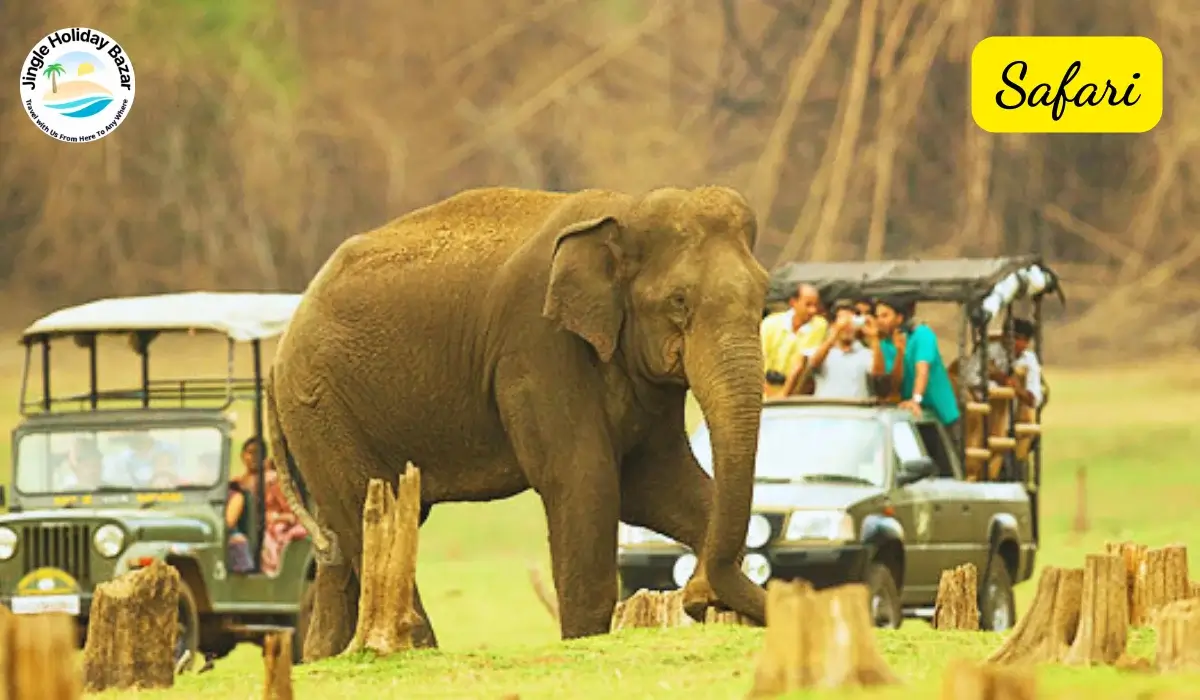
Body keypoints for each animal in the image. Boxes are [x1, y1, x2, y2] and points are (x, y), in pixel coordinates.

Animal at [265, 183, 768, 657]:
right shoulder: (537, 348)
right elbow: (584, 482)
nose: (698, 599)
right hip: (320, 402)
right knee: (363, 513)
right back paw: (416, 650)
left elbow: (658, 485)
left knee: (340, 546)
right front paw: (584, 640)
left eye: (765, 298)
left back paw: (326, 655)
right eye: (678, 300)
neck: (626, 208)